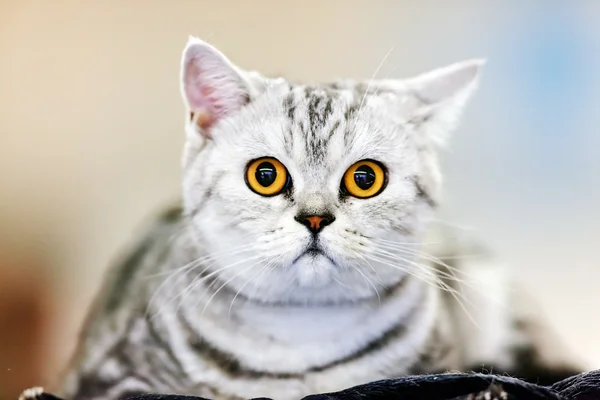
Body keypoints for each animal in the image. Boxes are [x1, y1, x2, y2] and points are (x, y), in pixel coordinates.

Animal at [50, 37, 580, 400]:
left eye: (365, 178)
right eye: (265, 175)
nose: (315, 219)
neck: (299, 343)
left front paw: (488, 388)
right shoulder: (111, 377)